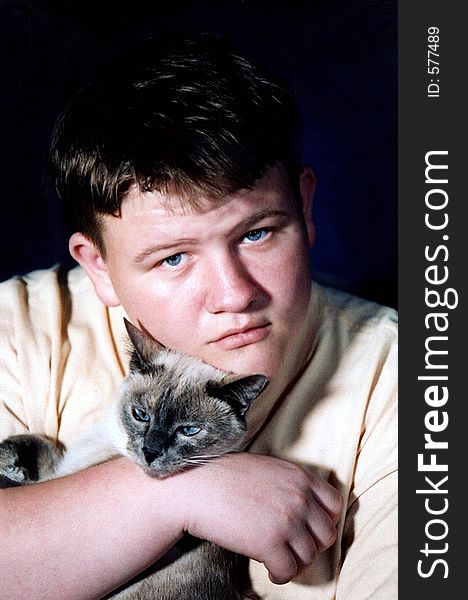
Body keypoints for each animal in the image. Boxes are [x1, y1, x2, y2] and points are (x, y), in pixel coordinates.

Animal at [0, 316, 266, 596]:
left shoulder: (59, 479)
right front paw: (11, 460)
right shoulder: (60, 466)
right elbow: (42, 445)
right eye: (141, 415)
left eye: (189, 431)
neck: (109, 440)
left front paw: (11, 472)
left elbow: (20, 481)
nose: (150, 451)